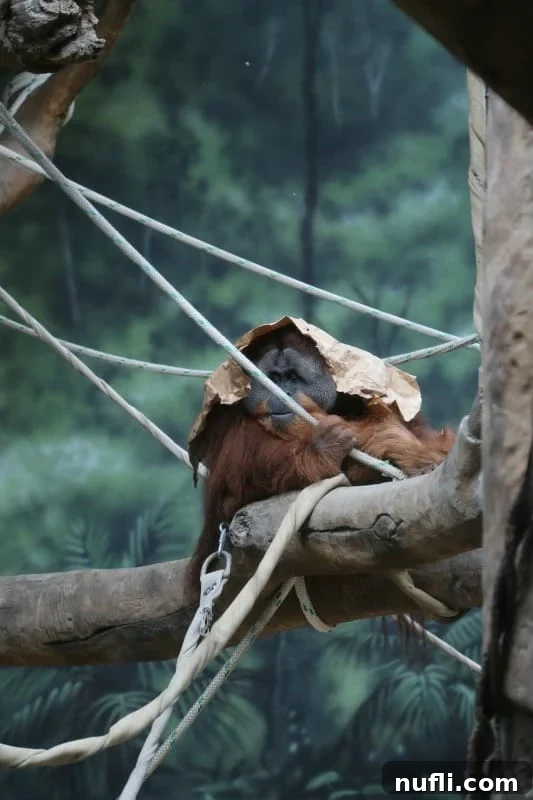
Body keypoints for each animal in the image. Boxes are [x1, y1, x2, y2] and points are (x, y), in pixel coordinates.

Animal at [188, 327, 456, 582]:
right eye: (274, 378)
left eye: (293, 377)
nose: (283, 393)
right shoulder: (228, 415)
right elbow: (234, 481)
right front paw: (327, 444)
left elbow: (430, 440)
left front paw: (408, 450)